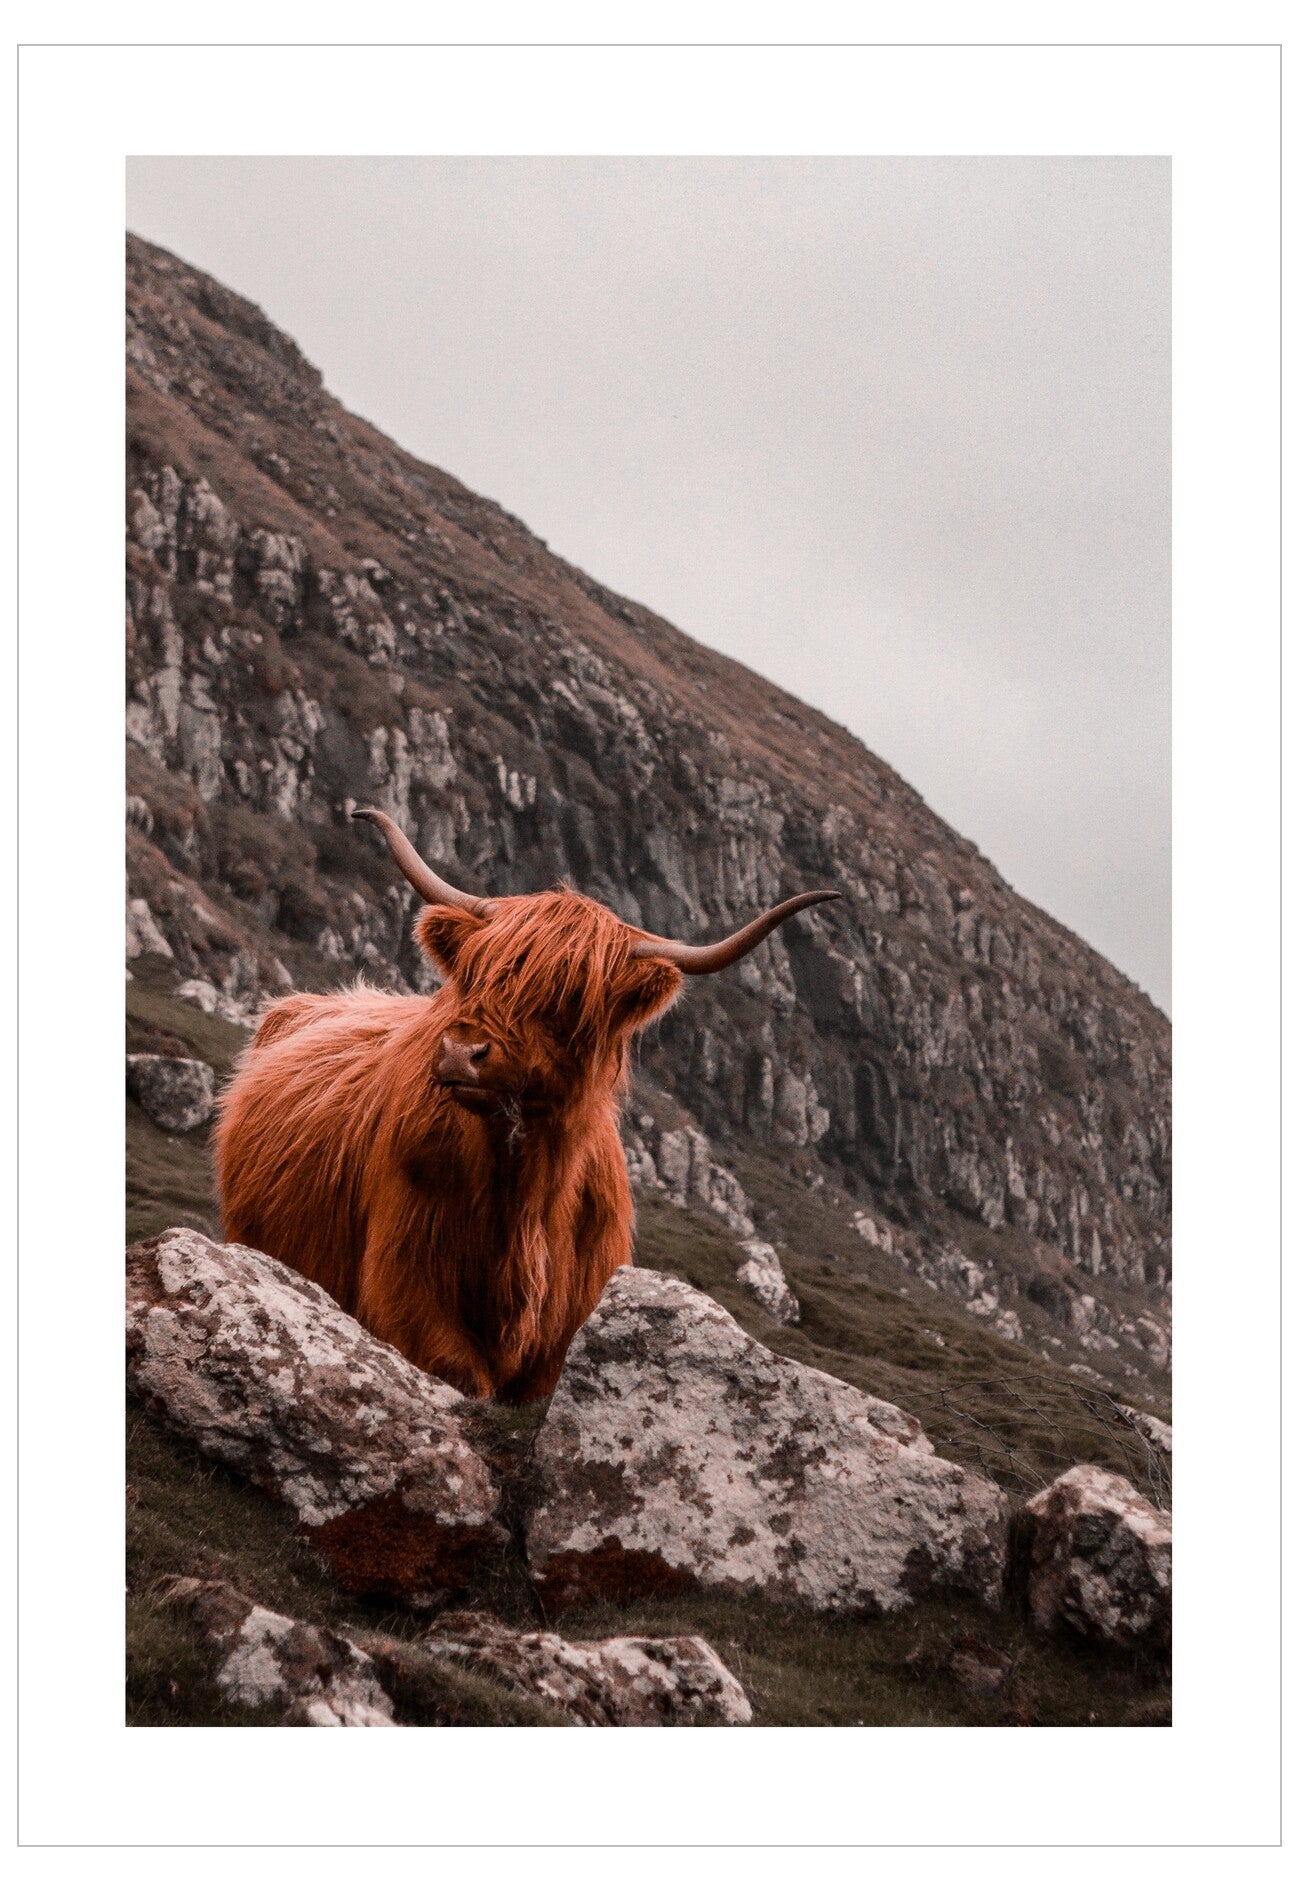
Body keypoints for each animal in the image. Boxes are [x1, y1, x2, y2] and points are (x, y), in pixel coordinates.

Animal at [215, 806, 838, 1401]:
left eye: (569, 1000)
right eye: (473, 974)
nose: (460, 1054)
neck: (525, 1201)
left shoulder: (566, 1330)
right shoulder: (406, 1290)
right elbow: (465, 1376)